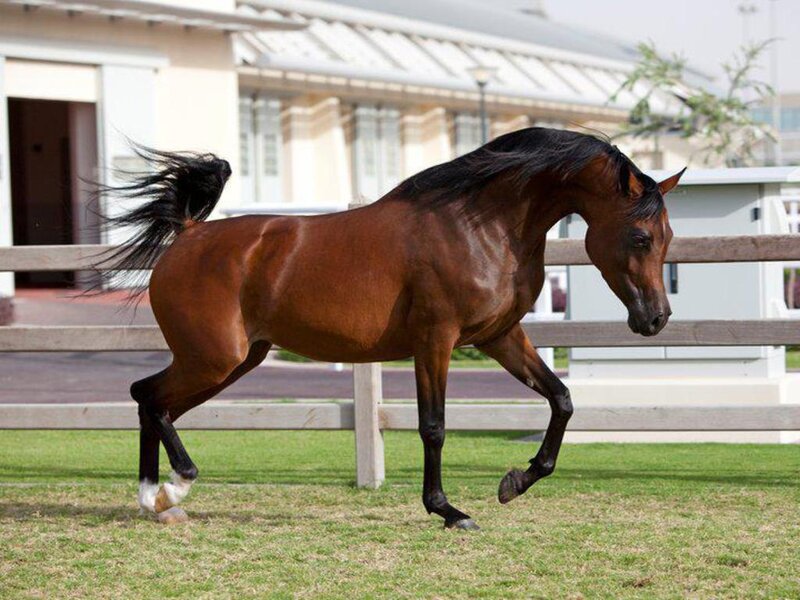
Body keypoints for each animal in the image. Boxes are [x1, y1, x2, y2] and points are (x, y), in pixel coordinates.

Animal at [99, 128, 684, 530]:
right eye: (640, 236)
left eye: (669, 236)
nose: (655, 318)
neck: (479, 224)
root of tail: (188, 234)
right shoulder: (436, 340)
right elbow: (434, 427)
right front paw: (449, 511)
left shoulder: (499, 336)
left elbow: (561, 399)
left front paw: (514, 482)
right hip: (213, 358)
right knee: (147, 397)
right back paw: (174, 487)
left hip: (236, 360)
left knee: (154, 401)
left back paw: (158, 500)